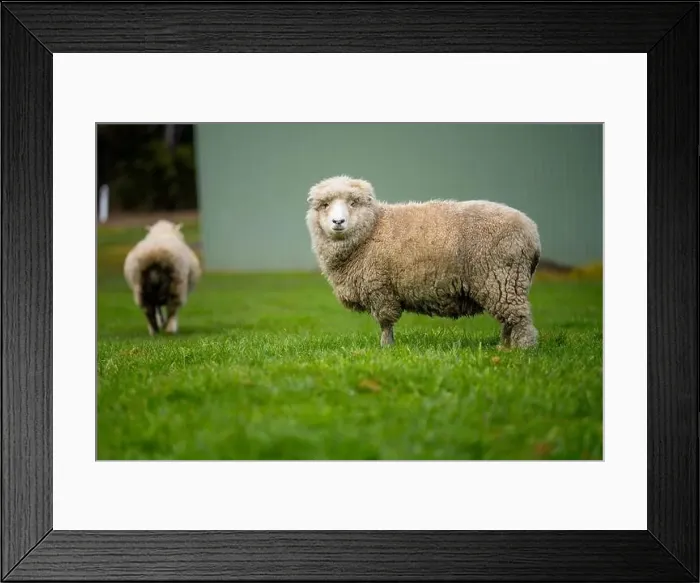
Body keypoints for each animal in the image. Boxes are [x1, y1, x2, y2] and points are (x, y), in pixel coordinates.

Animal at [305, 175, 541, 349]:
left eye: (353, 203)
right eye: (325, 205)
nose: (338, 222)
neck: (372, 228)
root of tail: (532, 231)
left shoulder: (380, 288)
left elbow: (385, 323)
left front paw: (386, 348)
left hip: (503, 277)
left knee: (519, 319)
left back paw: (523, 349)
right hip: (506, 283)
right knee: (509, 320)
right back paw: (504, 347)